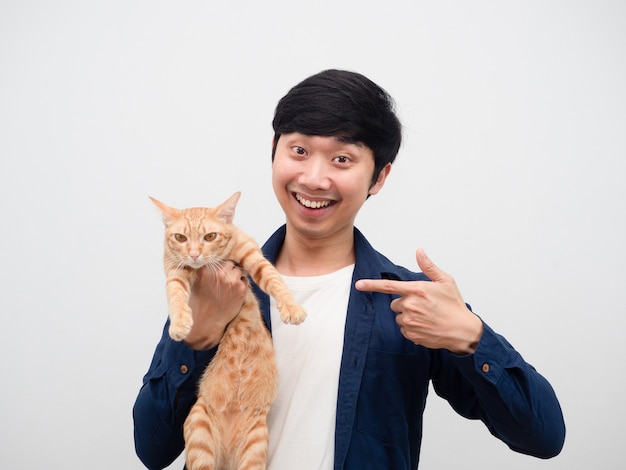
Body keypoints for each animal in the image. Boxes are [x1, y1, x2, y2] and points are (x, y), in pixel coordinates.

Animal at [152, 192, 308, 470]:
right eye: (180, 238)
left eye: (210, 236)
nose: (194, 254)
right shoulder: (175, 270)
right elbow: (176, 294)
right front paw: (179, 323)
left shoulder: (252, 255)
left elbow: (274, 280)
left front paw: (292, 308)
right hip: (199, 429)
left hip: (255, 445)